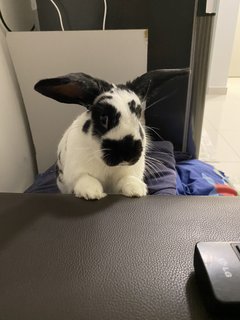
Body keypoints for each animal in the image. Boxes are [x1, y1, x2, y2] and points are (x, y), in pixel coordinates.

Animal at [34, 69, 188, 200]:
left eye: (138, 115)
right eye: (104, 118)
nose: (127, 153)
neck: (108, 168)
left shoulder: (128, 172)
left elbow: (127, 179)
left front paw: (136, 190)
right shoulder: (75, 172)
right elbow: (85, 178)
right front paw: (92, 193)